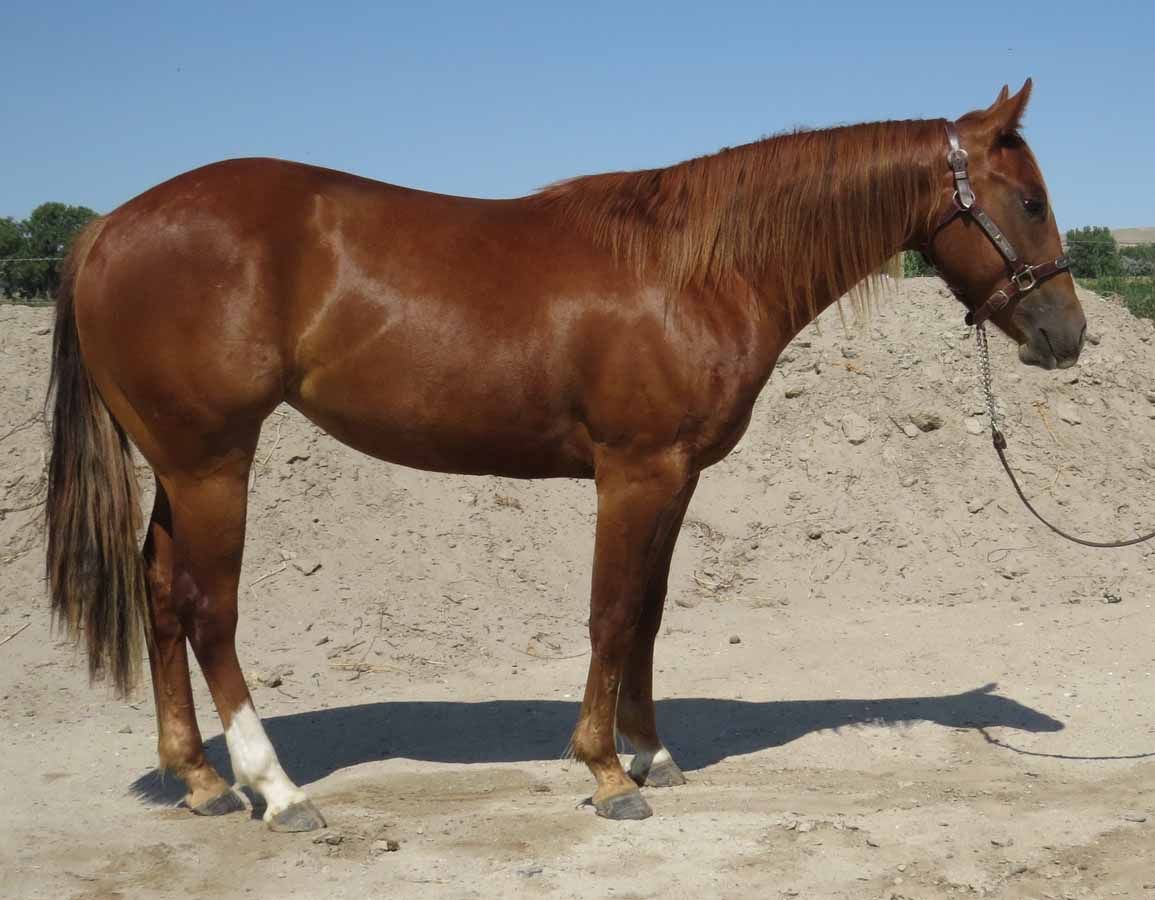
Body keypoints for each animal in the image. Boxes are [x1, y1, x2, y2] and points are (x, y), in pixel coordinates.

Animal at [45, 79, 1085, 830]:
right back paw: (276, 788)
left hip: (179, 468)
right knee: (207, 611)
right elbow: (610, 613)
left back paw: (200, 780)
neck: (694, 269)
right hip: (214, 463)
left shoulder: (675, 477)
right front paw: (605, 771)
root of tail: (105, 229)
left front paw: (652, 752)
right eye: (1030, 201)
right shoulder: (634, 472)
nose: (1066, 334)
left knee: (159, 595)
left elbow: (649, 617)